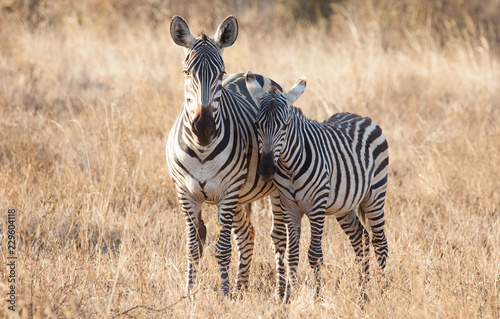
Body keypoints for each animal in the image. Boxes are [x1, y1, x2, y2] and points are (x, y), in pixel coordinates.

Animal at [167, 16, 288, 298]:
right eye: (186, 73)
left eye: (220, 74)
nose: (203, 127)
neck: (201, 149)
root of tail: (256, 75)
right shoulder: (184, 193)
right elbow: (193, 248)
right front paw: (189, 293)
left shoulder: (228, 192)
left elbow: (222, 250)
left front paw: (223, 295)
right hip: (241, 197)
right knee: (247, 234)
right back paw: (241, 288)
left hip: (273, 191)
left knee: (278, 238)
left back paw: (279, 292)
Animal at [247, 72, 390, 302]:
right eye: (258, 125)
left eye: (285, 125)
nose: (267, 169)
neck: (289, 166)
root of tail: (361, 117)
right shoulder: (289, 207)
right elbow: (292, 255)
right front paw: (289, 298)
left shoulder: (316, 207)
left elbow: (314, 255)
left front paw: (316, 297)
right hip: (344, 205)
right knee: (360, 236)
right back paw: (363, 292)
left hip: (375, 194)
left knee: (380, 242)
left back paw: (384, 291)